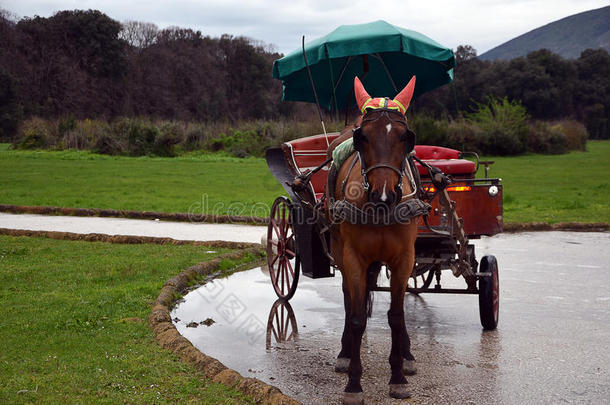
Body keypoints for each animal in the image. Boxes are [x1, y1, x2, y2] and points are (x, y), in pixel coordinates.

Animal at [324, 76, 422, 404]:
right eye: (362, 138)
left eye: (406, 138)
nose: (384, 195)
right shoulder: (354, 258)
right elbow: (356, 317)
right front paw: (354, 383)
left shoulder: (404, 259)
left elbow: (397, 316)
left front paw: (399, 376)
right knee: (348, 299)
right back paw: (345, 352)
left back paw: (407, 355)